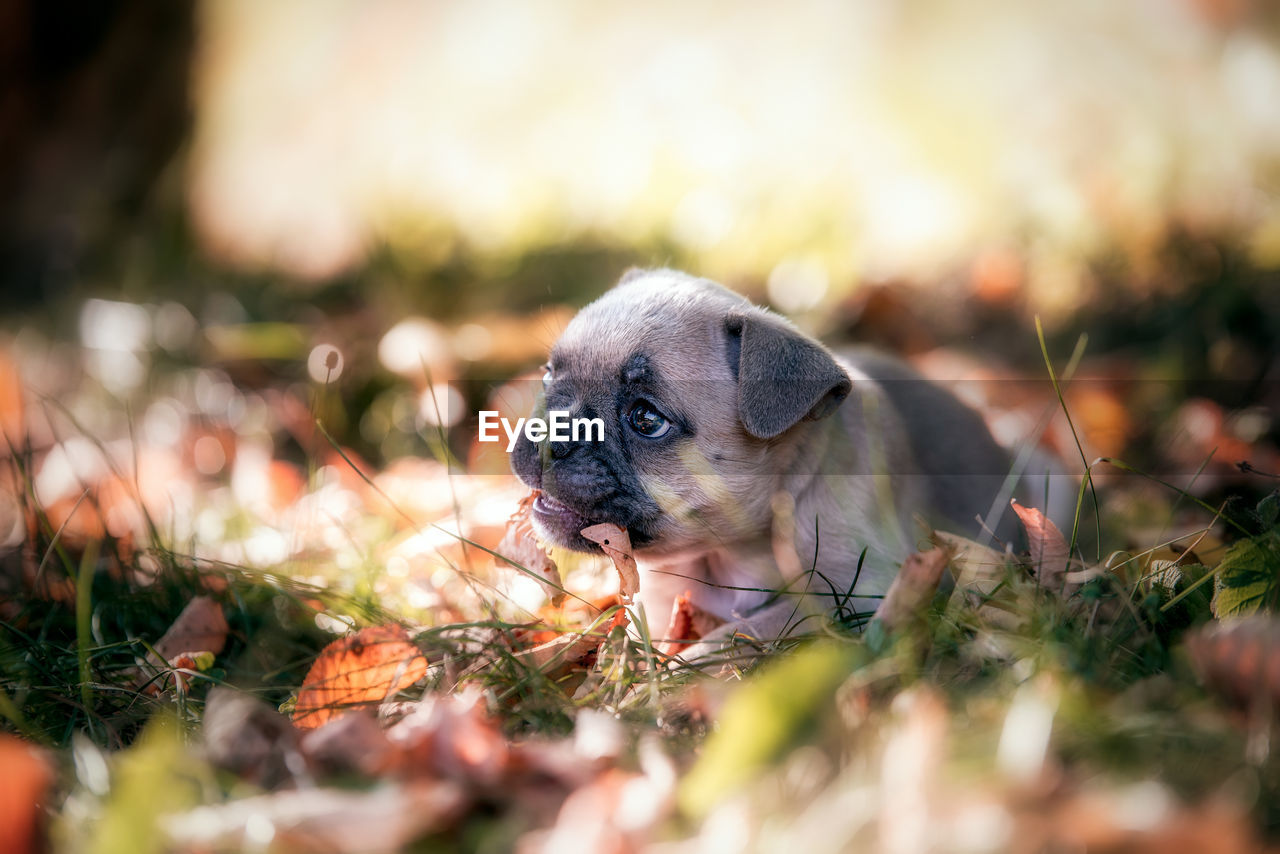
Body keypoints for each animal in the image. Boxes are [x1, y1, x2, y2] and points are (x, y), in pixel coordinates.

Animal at [509, 270, 1070, 660]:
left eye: (646, 419)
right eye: (547, 375)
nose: (547, 433)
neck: (724, 557)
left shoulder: (864, 590)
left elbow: (763, 623)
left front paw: (691, 663)